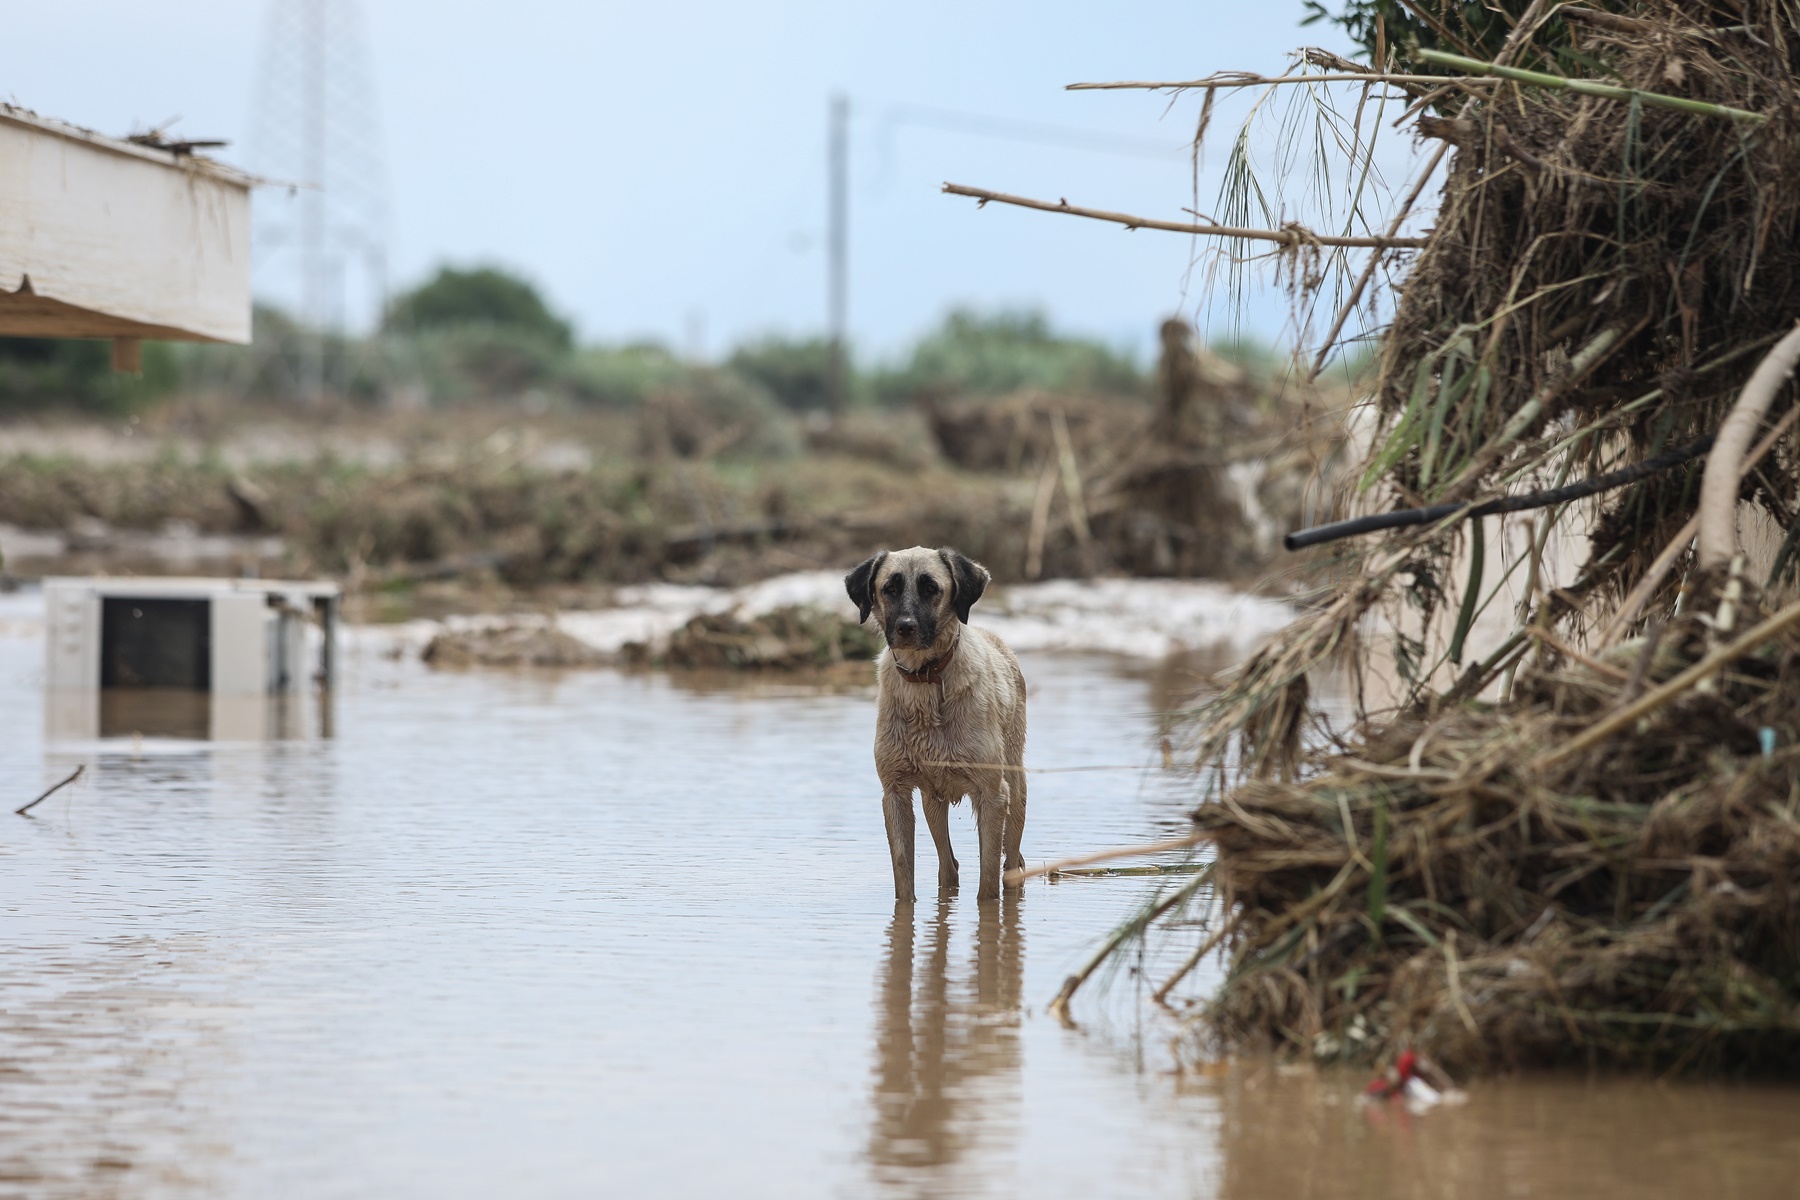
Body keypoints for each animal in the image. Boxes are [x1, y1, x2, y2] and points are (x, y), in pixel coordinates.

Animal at [842, 546, 1029, 899]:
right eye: (889, 588)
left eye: (931, 588)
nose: (906, 627)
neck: (925, 681)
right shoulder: (896, 793)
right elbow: (903, 876)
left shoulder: (992, 794)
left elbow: (987, 883)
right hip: (933, 802)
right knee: (948, 864)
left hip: (1016, 789)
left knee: (1010, 863)